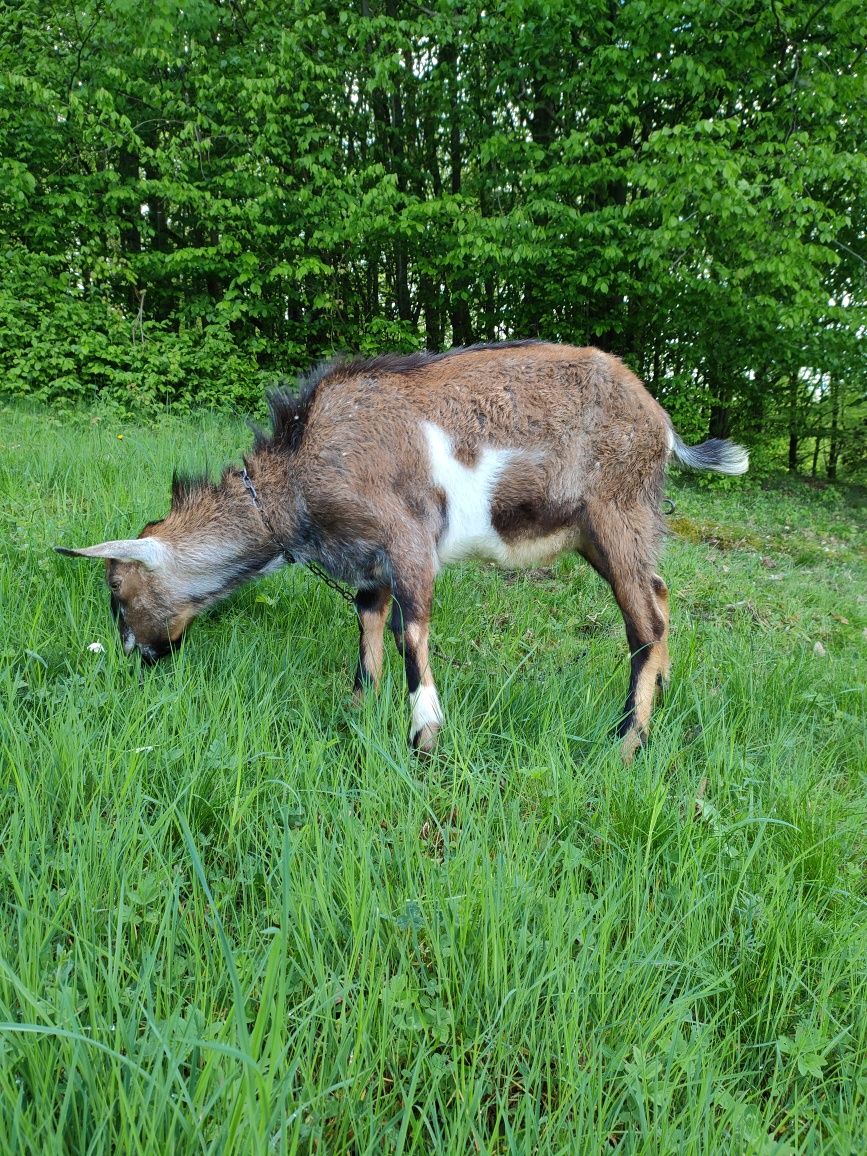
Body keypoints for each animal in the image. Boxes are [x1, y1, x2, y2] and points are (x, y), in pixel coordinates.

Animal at [56, 339, 749, 758]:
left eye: (116, 589)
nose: (138, 658)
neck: (298, 472)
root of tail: (662, 423)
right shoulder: (369, 564)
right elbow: (368, 636)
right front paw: (357, 712)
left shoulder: (408, 540)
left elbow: (411, 634)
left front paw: (426, 737)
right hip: (600, 533)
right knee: (658, 597)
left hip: (616, 511)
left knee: (645, 623)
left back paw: (627, 742)